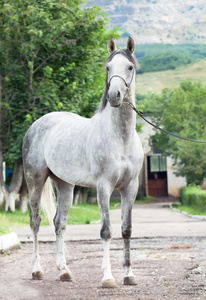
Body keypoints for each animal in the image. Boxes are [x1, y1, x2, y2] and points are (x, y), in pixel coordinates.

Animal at [22, 37, 143, 288]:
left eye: (129, 67)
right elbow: (106, 231)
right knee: (35, 222)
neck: (121, 138)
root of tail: (36, 124)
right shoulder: (104, 186)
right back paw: (37, 270)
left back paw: (64, 271)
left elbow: (126, 230)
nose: (114, 96)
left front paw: (129, 275)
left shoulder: (131, 187)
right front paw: (108, 277)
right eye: (107, 68)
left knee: (59, 223)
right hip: (35, 181)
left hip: (65, 185)